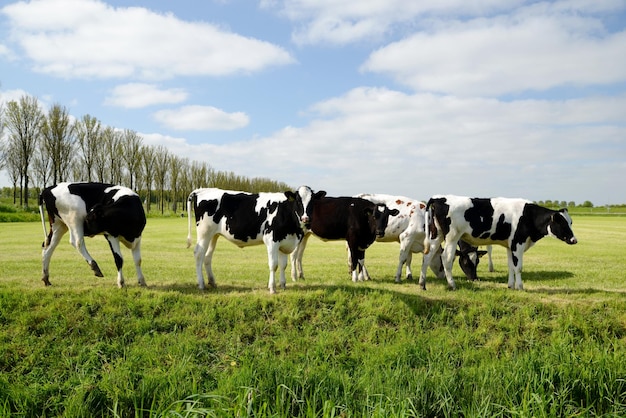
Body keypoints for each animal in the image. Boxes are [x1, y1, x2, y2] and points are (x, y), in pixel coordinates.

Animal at [422, 196, 576, 290]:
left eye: (571, 222)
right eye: (562, 224)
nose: (574, 240)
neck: (527, 216)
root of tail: (439, 198)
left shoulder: (510, 246)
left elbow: (511, 266)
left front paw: (511, 286)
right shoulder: (518, 244)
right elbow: (518, 267)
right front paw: (520, 287)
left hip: (436, 236)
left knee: (427, 257)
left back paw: (422, 284)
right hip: (452, 237)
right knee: (446, 258)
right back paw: (452, 285)